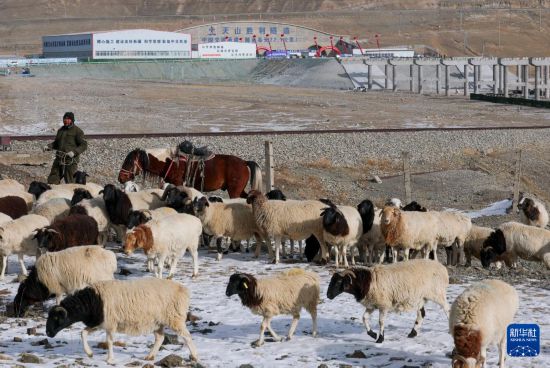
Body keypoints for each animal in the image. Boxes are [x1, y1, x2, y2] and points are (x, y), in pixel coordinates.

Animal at [46, 278, 198, 364]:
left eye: (56, 317)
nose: (48, 333)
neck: (91, 301)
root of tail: (184, 290)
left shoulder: (110, 324)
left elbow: (109, 341)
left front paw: (109, 359)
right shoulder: (99, 323)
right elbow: (83, 333)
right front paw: (89, 353)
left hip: (175, 318)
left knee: (187, 336)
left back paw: (195, 357)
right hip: (157, 322)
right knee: (160, 338)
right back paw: (149, 357)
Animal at [118, 148, 264, 198]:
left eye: (129, 162)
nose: (120, 178)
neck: (170, 161)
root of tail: (244, 162)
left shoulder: (178, 183)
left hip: (234, 191)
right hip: (239, 190)